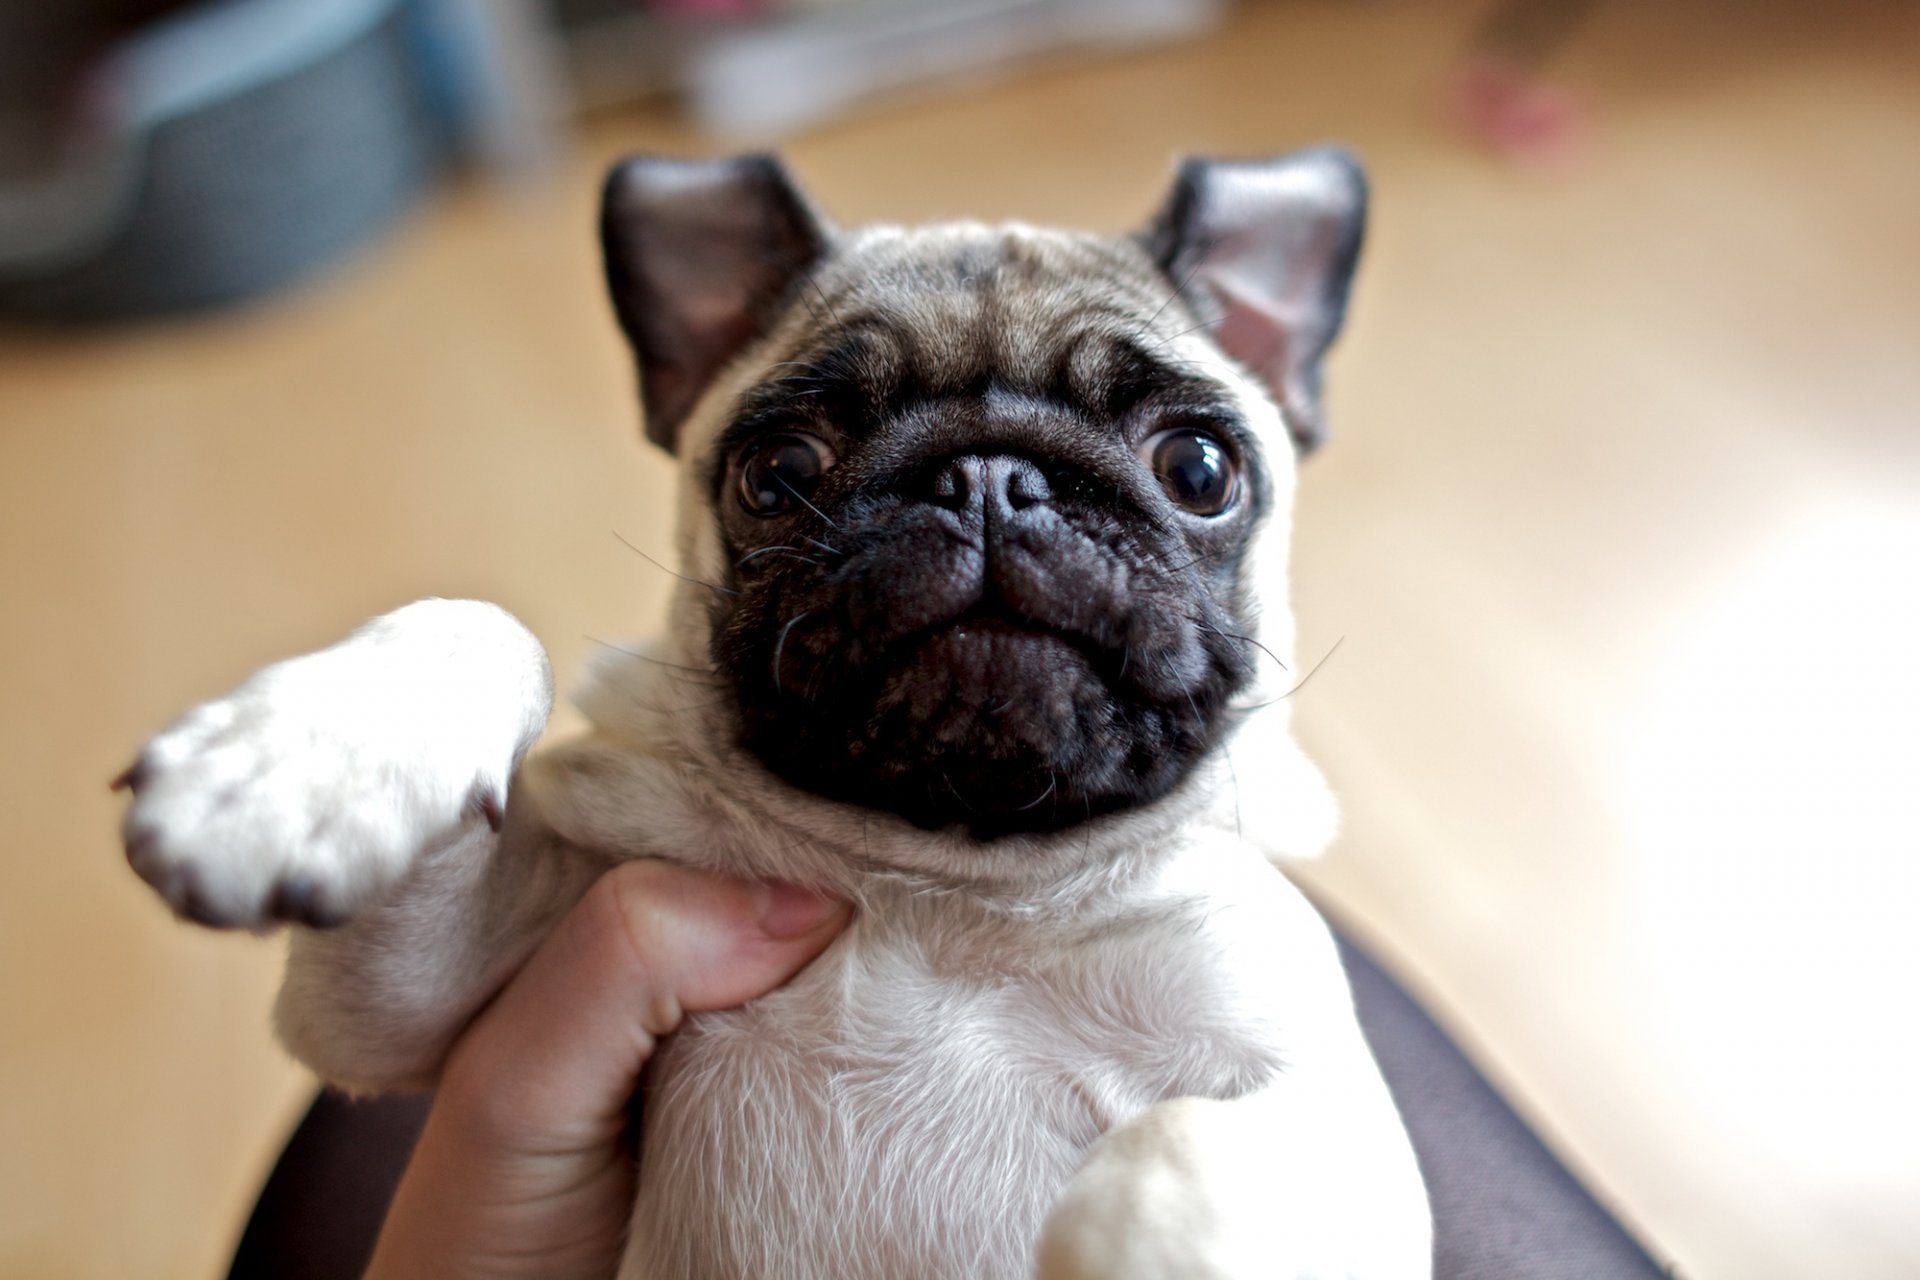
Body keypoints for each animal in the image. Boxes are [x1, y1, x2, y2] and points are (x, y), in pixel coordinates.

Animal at [116, 152, 1428, 1280]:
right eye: (780, 471)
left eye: (1199, 469)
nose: (990, 478)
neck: (950, 882)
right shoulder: (424, 1005)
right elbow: (486, 621)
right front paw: (289, 766)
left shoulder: (1330, 1116)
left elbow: (1175, 1146)